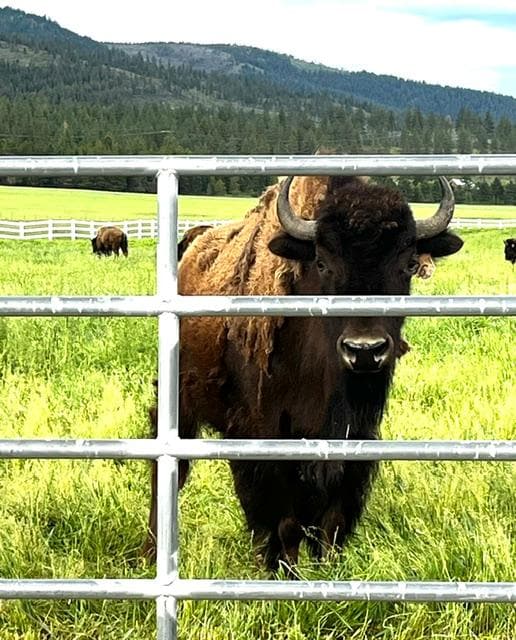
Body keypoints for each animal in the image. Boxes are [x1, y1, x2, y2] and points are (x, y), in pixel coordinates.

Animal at [144, 174, 463, 570]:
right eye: (323, 264)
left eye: (406, 264)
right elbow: (284, 521)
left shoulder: (355, 438)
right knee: (169, 475)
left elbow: (332, 522)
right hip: (178, 405)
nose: (364, 350)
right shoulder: (267, 437)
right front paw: (283, 570)